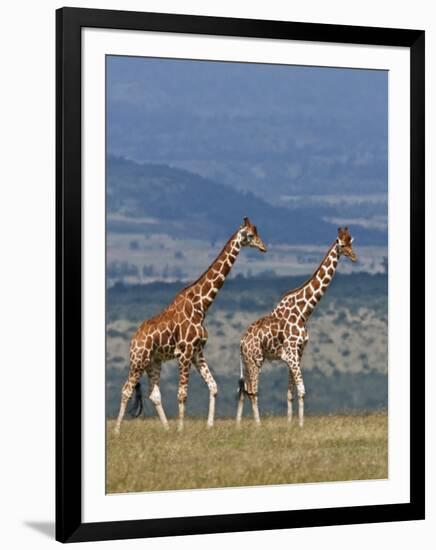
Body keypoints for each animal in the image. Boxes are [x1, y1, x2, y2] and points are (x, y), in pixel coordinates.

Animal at [114, 217, 268, 436]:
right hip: (138, 361)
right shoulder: (185, 352)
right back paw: (118, 430)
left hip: (153, 362)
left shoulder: (197, 352)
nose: (263, 247)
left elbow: (213, 386)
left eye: (257, 232)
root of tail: (133, 340)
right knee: (126, 389)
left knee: (154, 394)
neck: (201, 307)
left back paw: (166, 428)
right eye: (250, 235)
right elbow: (182, 394)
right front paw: (181, 428)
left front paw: (209, 425)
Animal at [237, 226, 356, 430]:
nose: (354, 256)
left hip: (247, 361)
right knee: (252, 390)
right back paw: (258, 424)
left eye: (351, 242)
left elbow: (290, 392)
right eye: (342, 244)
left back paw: (238, 423)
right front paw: (300, 425)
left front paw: (291, 423)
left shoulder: (297, 353)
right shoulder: (291, 353)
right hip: (255, 359)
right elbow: (301, 390)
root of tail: (241, 342)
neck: (303, 312)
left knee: (243, 389)